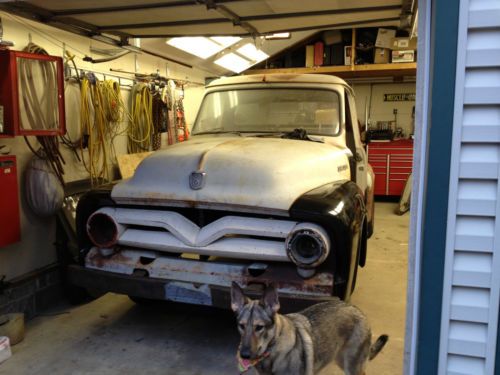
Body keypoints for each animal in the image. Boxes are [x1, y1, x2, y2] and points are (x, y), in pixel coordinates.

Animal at [232, 284, 388, 374]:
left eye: (259, 327)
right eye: (241, 326)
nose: (244, 355)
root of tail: (357, 309)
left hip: (352, 366)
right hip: (340, 359)